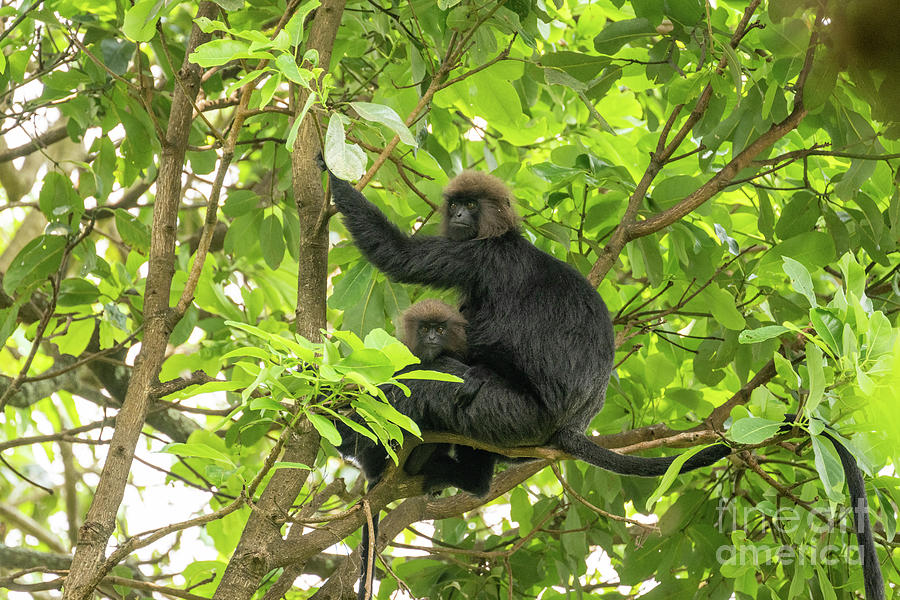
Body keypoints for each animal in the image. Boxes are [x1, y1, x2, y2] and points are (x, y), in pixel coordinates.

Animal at [326, 169, 884, 600]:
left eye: (470, 205)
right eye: (455, 205)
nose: (460, 216)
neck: (503, 238)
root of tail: (569, 426)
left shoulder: (479, 257)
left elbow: (399, 257)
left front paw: (326, 167)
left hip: (511, 416)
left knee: (434, 388)